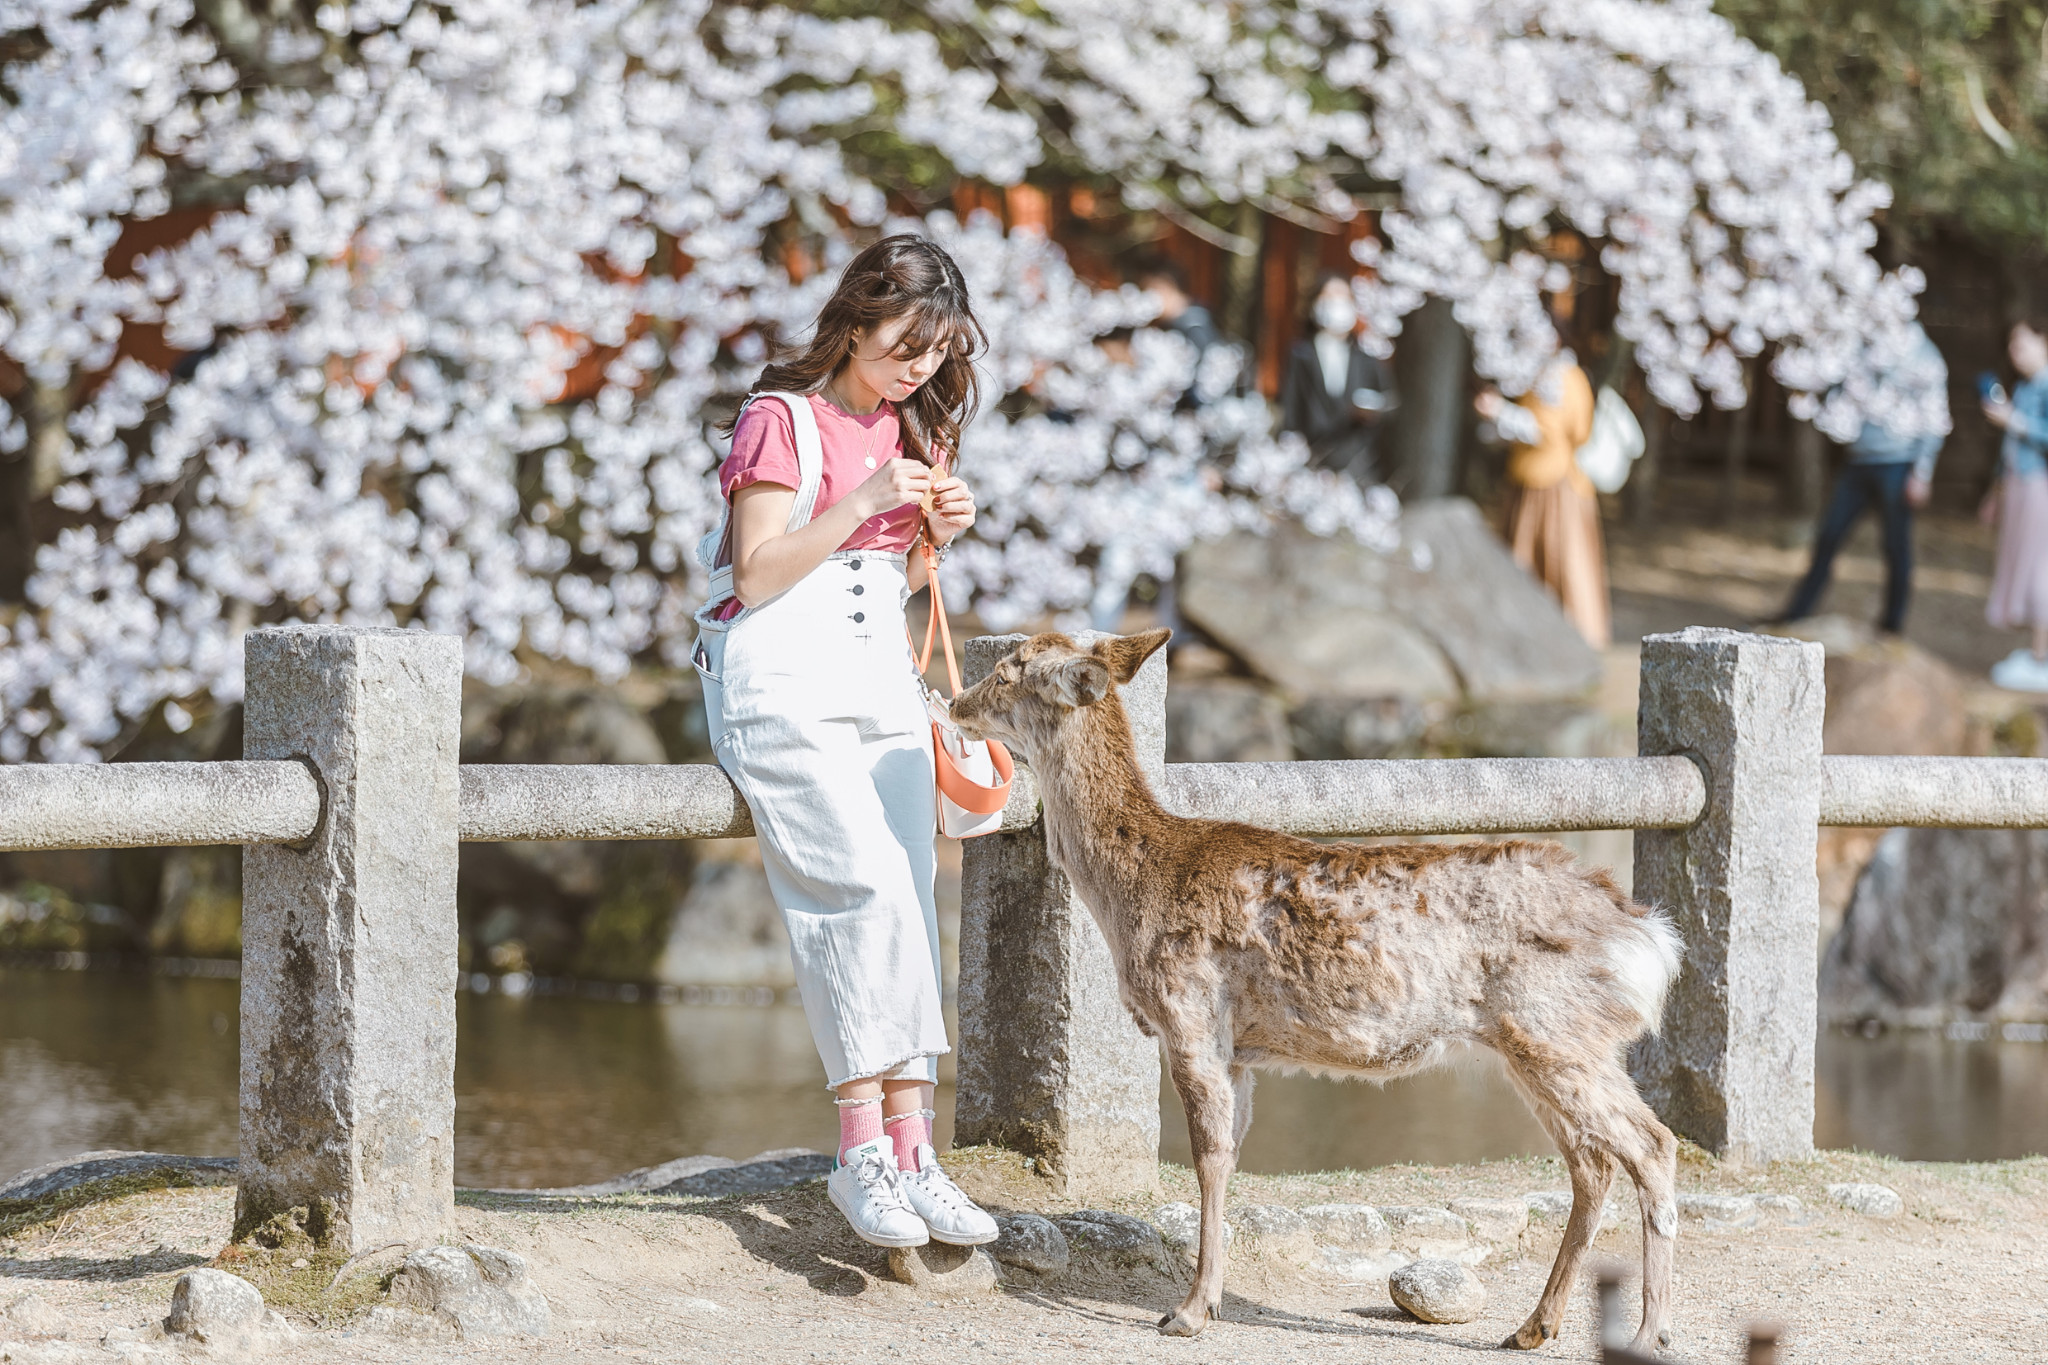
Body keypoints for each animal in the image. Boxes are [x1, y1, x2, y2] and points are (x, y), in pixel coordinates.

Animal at [950, 634, 1687, 1358]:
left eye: (1008, 670)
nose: (955, 702)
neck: (1135, 887)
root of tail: (1649, 937)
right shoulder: (1240, 1051)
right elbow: (1230, 1155)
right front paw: (1206, 1300)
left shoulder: (1190, 1015)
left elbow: (1207, 1157)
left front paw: (1189, 1311)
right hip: (1545, 1044)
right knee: (1593, 1162)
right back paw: (1533, 1325)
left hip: (1554, 1032)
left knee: (1652, 1144)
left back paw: (1648, 1332)